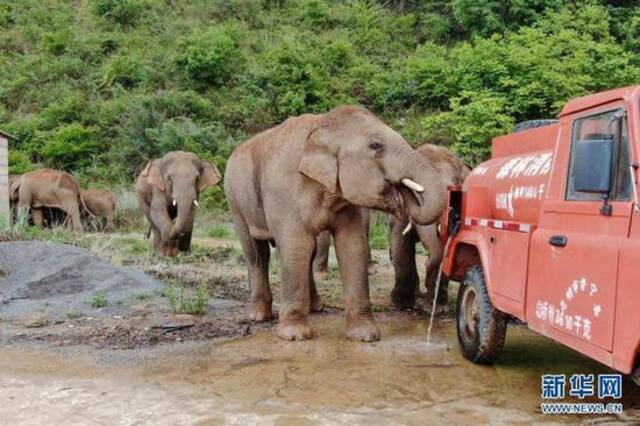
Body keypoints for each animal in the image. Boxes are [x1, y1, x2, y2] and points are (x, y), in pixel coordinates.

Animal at [225, 106, 456, 342]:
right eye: (375, 146)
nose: (401, 188)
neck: (322, 125)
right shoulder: (283, 190)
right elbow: (296, 245)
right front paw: (295, 336)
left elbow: (352, 245)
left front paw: (365, 336)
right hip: (234, 198)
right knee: (257, 253)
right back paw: (258, 316)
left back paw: (315, 308)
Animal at [384, 145, 470, 312]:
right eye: (416, 194)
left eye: (454, 191)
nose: (425, 263)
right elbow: (400, 239)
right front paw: (403, 304)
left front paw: (434, 309)